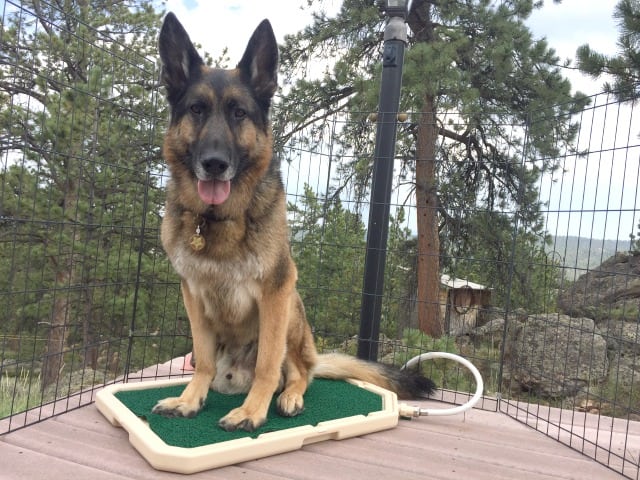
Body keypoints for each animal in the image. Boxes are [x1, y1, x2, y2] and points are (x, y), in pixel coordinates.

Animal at [152, 12, 438, 432]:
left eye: (239, 113)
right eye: (196, 110)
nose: (215, 164)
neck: (220, 219)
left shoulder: (275, 292)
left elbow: (269, 363)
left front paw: (253, 410)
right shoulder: (193, 296)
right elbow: (202, 360)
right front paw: (190, 400)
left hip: (293, 307)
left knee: (299, 372)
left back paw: (288, 396)